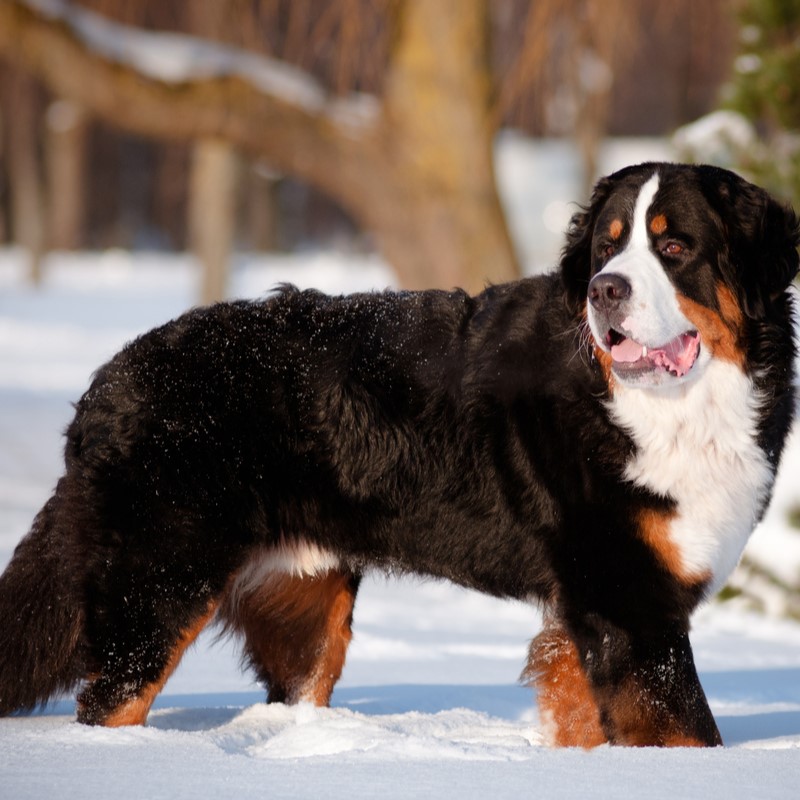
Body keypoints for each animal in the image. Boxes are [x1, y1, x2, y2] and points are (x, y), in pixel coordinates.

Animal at [1, 159, 800, 748]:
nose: (605, 290)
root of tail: (112, 376)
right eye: (607, 247)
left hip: (304, 608)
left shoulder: (599, 609)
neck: (677, 409)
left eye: (674, 247)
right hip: (159, 585)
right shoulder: (629, 598)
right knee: (110, 703)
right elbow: (688, 732)